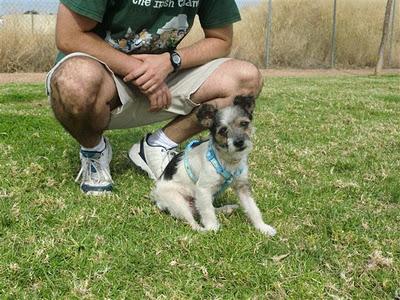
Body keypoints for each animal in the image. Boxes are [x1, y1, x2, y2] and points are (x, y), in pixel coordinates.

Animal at [150, 96, 276, 237]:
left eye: (244, 123)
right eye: (223, 130)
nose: (239, 142)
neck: (228, 160)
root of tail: (156, 196)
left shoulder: (242, 186)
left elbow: (252, 208)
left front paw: (262, 227)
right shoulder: (203, 189)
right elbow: (207, 212)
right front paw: (212, 228)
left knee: (207, 209)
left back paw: (227, 209)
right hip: (177, 201)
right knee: (193, 221)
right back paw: (203, 229)